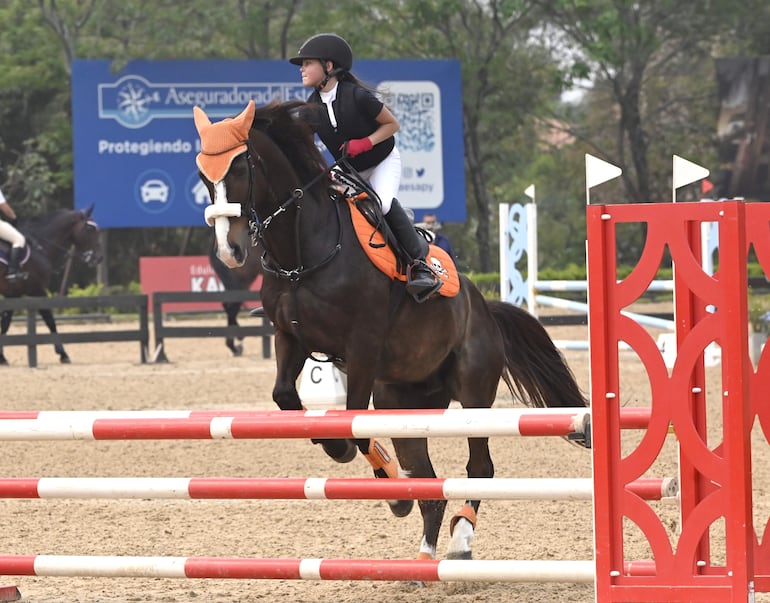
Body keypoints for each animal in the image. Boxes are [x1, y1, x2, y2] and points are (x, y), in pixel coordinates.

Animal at [0, 205, 101, 366]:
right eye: (90, 229)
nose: (99, 258)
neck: (39, 248)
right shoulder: (37, 291)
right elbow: (50, 321)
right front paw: (63, 354)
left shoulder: (13, 295)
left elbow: (5, 324)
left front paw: (2, 358)